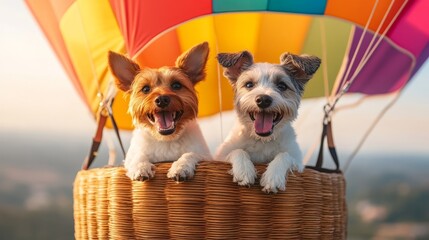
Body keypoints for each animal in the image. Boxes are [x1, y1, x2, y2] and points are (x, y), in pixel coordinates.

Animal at [108, 42, 211, 181]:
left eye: (176, 85)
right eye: (145, 89)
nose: (162, 99)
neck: (166, 140)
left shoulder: (204, 155)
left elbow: (190, 154)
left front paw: (181, 167)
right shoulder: (133, 156)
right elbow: (138, 157)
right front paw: (141, 168)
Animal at [216, 50, 320, 193]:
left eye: (282, 85)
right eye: (249, 84)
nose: (263, 99)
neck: (262, 141)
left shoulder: (297, 162)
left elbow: (284, 155)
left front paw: (273, 177)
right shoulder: (220, 156)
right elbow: (238, 151)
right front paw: (244, 170)